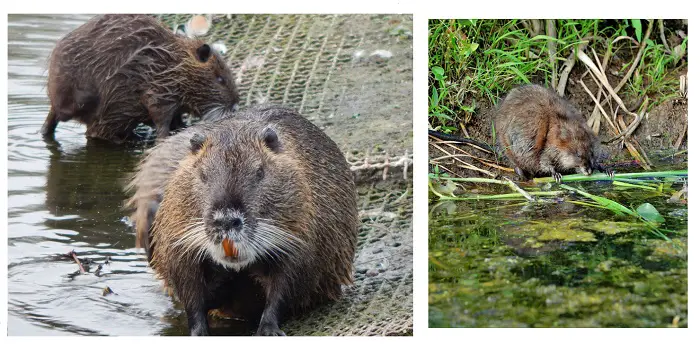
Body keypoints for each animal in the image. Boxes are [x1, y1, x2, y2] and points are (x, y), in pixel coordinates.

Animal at [44, 13, 241, 142]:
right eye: (220, 80)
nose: (235, 103)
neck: (170, 62)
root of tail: (54, 106)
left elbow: (176, 117)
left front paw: (182, 127)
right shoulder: (158, 89)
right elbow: (159, 115)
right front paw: (165, 135)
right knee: (95, 132)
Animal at [123, 104, 358, 336]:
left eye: (260, 172)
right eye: (203, 174)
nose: (226, 221)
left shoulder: (304, 234)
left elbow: (288, 282)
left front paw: (268, 329)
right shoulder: (177, 237)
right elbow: (189, 289)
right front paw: (199, 330)